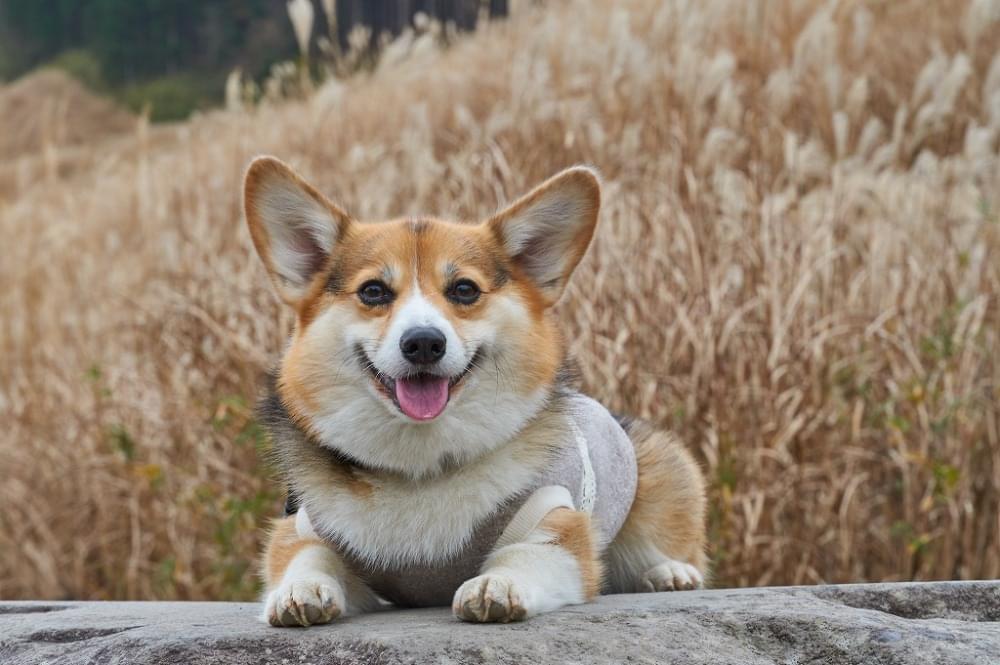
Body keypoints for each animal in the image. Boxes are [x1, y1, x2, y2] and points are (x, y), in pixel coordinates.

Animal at [245, 158, 708, 624]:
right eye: (373, 291)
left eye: (464, 289)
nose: (424, 342)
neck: (420, 467)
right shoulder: (300, 526)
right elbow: (306, 557)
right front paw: (300, 590)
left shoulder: (558, 525)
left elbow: (526, 556)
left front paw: (495, 585)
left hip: (663, 477)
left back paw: (670, 573)